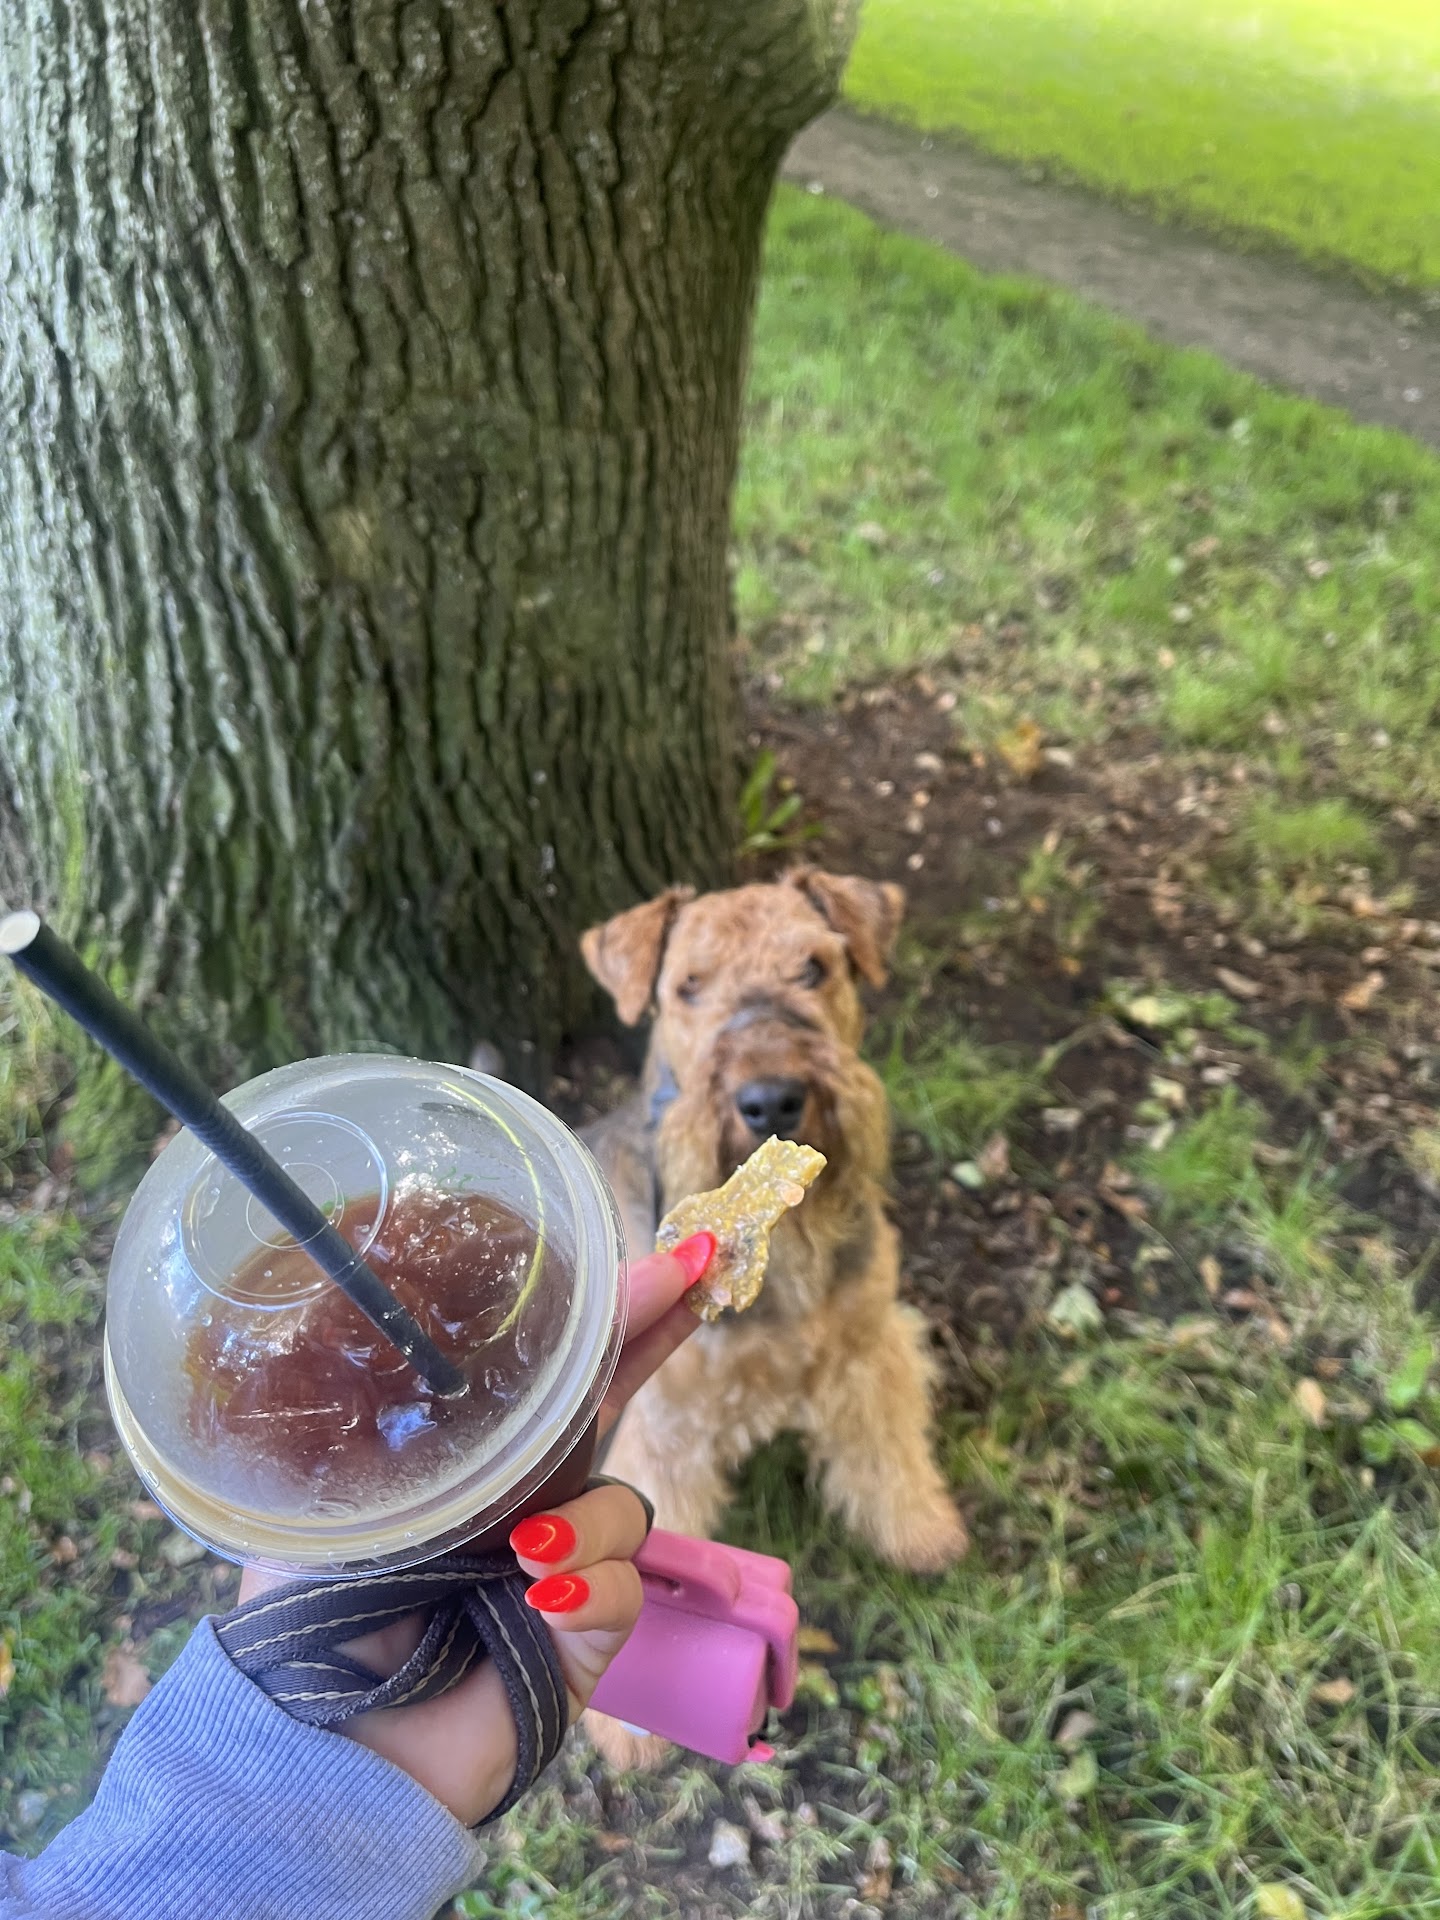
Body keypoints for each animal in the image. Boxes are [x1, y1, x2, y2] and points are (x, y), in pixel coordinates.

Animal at [578, 867, 968, 1766]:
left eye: (815, 968)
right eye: (688, 986)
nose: (771, 1100)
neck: (787, 1255)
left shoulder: (869, 1346)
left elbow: (887, 1452)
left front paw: (921, 1533)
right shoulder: (669, 1419)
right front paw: (626, 1728)